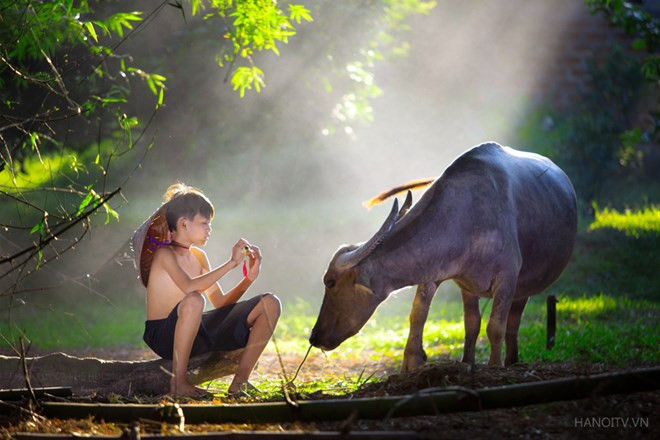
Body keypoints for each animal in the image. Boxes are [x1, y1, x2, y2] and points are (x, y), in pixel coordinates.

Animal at [310, 143, 576, 370]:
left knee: (512, 323)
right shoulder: (435, 274)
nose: (314, 337)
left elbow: (495, 326)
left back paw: (511, 361)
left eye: (330, 282)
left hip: (525, 286)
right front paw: (412, 361)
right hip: (472, 289)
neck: (466, 218)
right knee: (473, 323)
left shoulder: (507, 278)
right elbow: (419, 315)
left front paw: (494, 366)